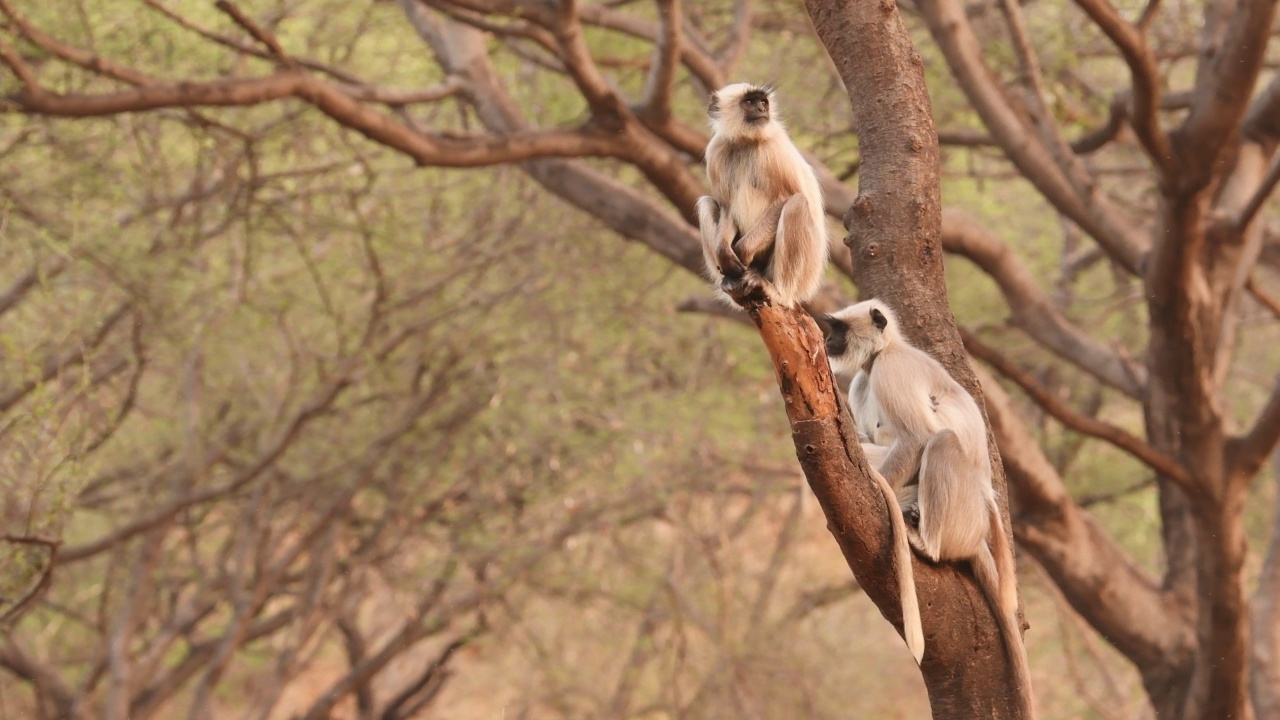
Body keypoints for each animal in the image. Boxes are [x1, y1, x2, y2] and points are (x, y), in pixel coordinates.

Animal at [701, 82, 829, 307]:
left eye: (763, 102)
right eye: (749, 102)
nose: (761, 109)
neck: (746, 142)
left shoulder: (774, 146)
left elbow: (787, 197)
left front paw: (742, 251)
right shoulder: (716, 151)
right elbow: (727, 208)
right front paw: (725, 255)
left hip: (805, 272)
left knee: (797, 204)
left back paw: (778, 292)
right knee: (706, 203)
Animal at [819, 297, 1039, 712]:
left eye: (838, 329)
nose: (826, 341)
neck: (884, 352)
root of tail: (979, 533)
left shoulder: (891, 370)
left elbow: (918, 436)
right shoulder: (862, 380)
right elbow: (862, 439)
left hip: (962, 511)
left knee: (941, 441)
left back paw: (925, 540)